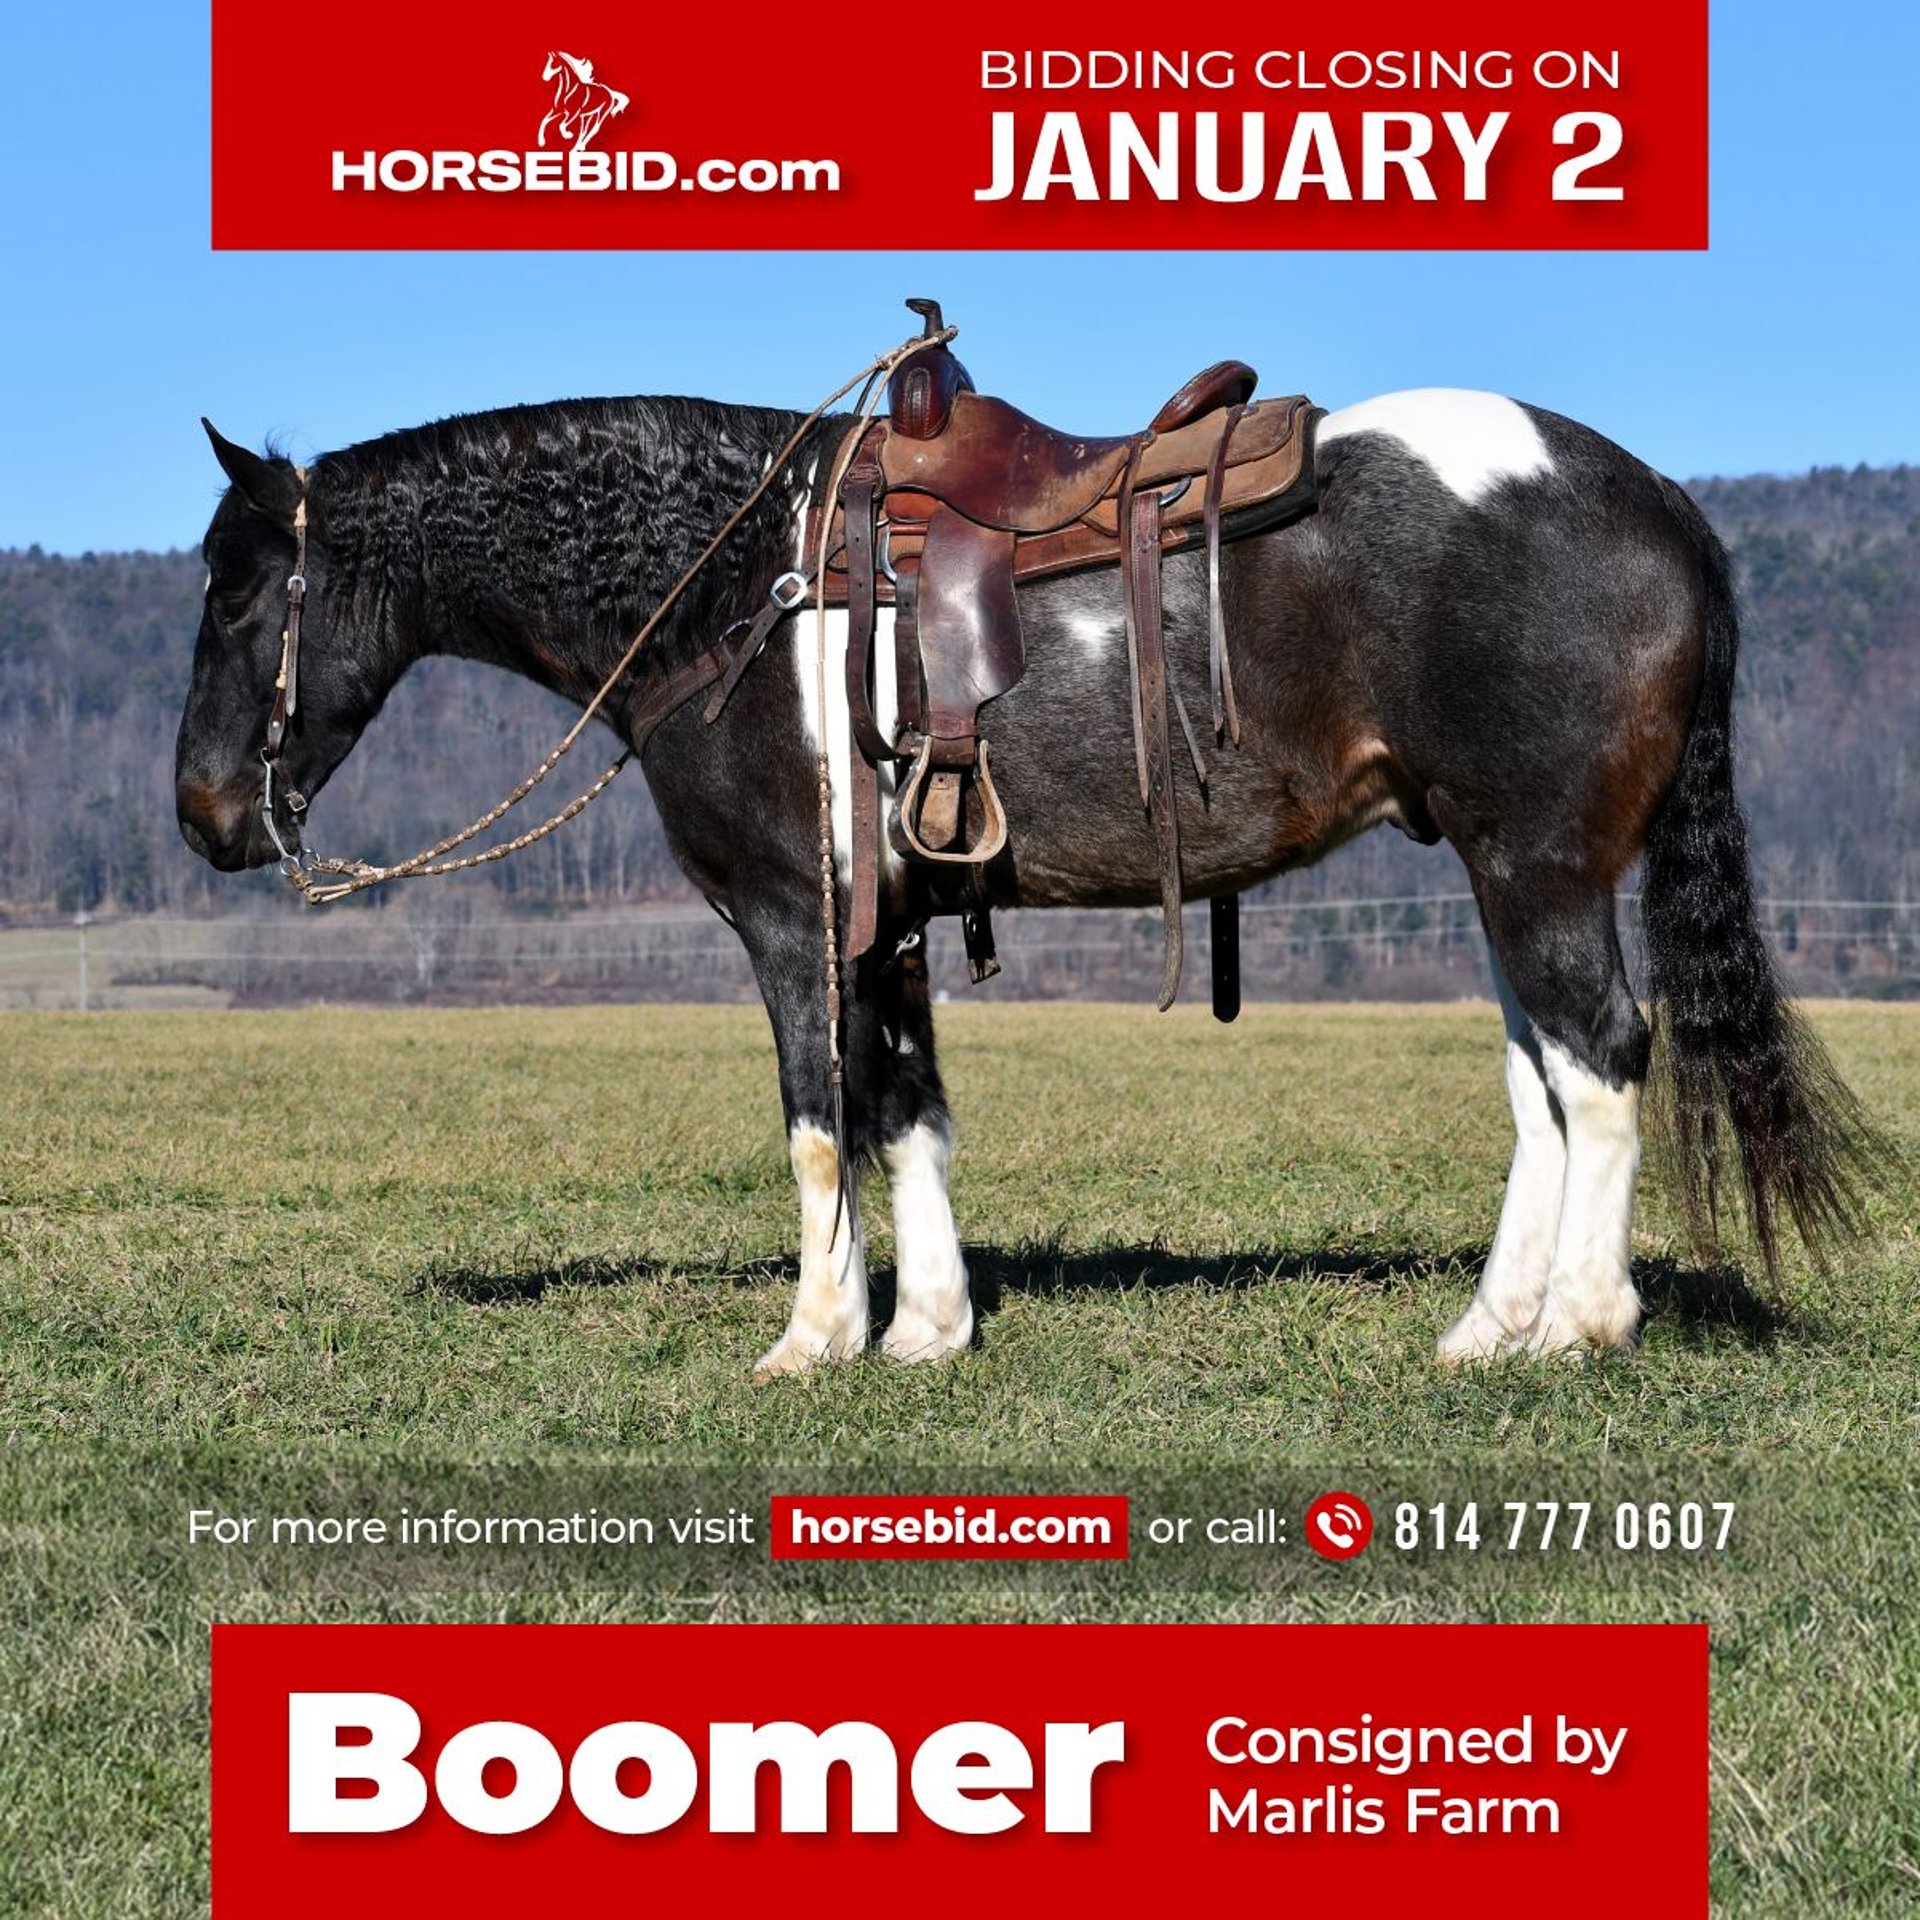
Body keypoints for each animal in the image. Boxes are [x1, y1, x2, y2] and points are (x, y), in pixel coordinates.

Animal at [174, 368, 1879, 1377]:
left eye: (242, 596)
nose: (202, 815)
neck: (740, 582)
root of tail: (1661, 506)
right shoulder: (893, 927)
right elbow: (910, 1115)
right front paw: (927, 1328)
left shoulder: (794, 924)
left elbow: (820, 1124)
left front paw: (815, 1340)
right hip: (1503, 868)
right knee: (1545, 1081)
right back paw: (1491, 1323)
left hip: (1538, 863)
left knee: (1601, 1063)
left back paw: (1582, 1323)